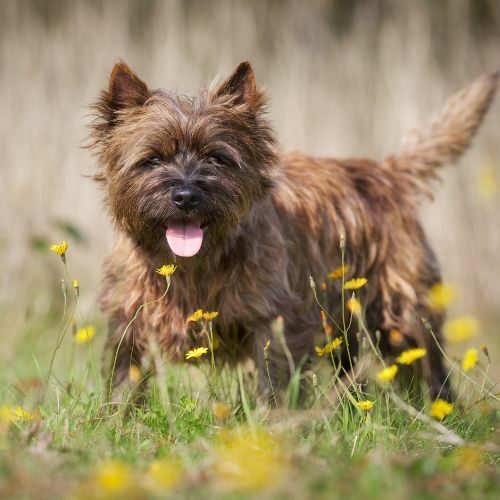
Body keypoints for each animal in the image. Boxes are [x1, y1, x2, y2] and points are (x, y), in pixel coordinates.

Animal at [89, 60, 496, 402]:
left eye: (216, 158)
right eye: (152, 159)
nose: (186, 195)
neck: (192, 265)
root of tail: (388, 172)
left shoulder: (275, 319)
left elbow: (273, 381)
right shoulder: (130, 317)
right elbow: (123, 377)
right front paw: (118, 421)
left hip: (400, 309)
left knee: (428, 364)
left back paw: (439, 412)